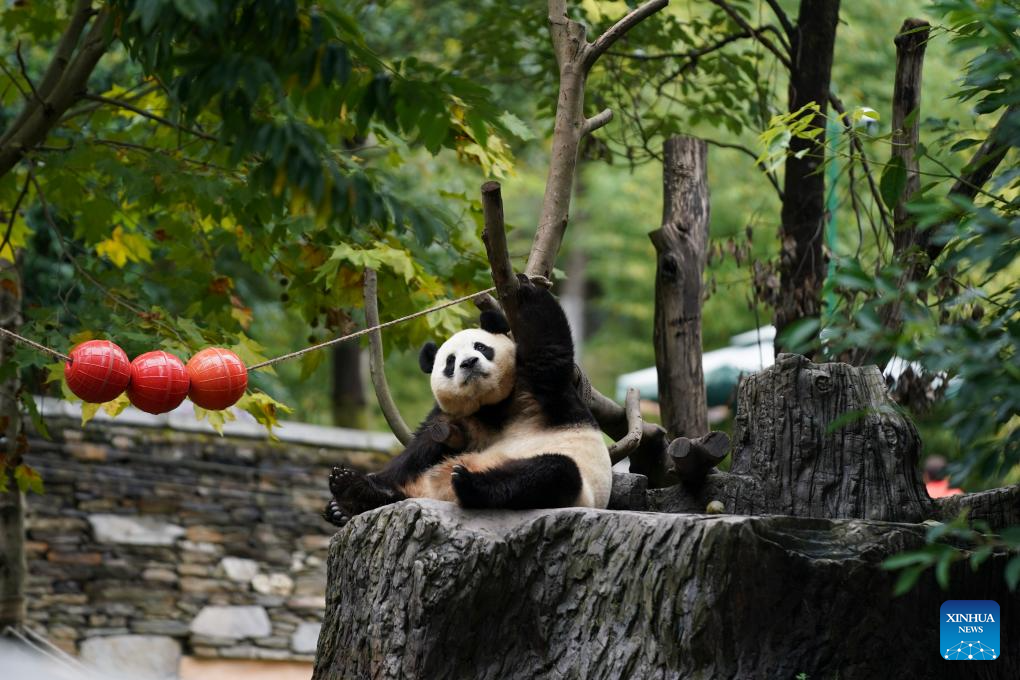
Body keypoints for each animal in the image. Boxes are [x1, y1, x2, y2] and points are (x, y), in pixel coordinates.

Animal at [326, 277, 607, 526]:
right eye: (450, 361)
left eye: (481, 347)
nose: (469, 363)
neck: (491, 405)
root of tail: (435, 495)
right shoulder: (455, 419)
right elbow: (417, 451)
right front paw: (355, 487)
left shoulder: (540, 393)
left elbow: (549, 350)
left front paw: (527, 288)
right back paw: (351, 494)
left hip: (576, 488)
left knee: (551, 472)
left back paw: (469, 484)